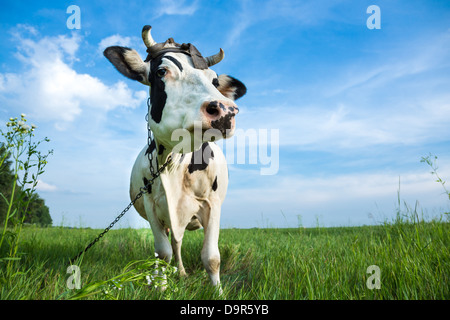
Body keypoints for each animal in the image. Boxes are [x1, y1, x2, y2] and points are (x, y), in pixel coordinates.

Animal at [103, 24, 246, 290]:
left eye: (214, 80)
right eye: (161, 71)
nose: (225, 109)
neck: (175, 164)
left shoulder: (212, 203)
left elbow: (211, 257)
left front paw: (218, 291)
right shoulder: (151, 205)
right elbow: (162, 252)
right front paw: (161, 287)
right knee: (173, 244)